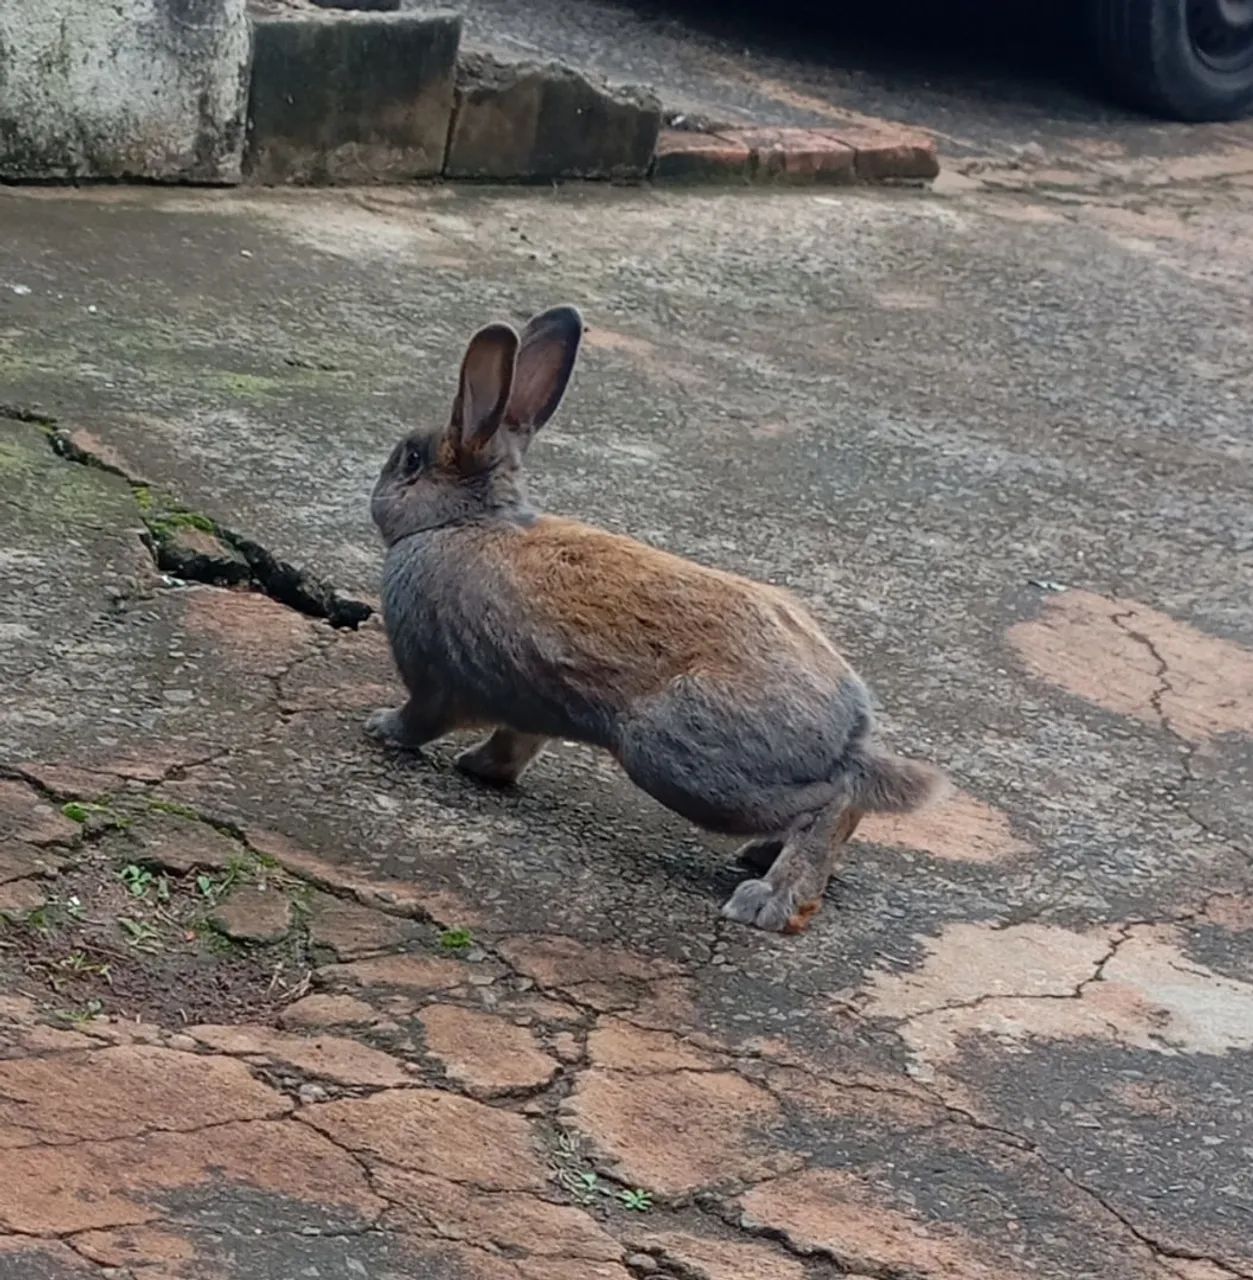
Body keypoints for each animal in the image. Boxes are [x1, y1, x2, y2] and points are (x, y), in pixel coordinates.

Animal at [367, 305, 947, 933]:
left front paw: (382, 728)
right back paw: (763, 859)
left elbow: (423, 718)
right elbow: (515, 741)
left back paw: (765, 899)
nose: (377, 487)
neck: (458, 523)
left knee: (829, 806)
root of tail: (848, 728)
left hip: (674, 757)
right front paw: (479, 767)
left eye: (412, 460)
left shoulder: (436, 681)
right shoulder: (530, 704)